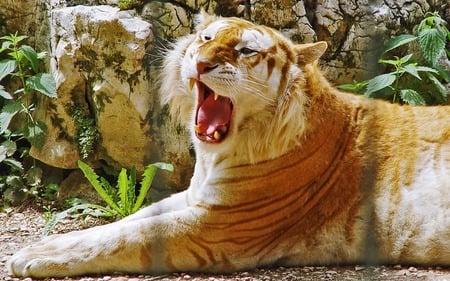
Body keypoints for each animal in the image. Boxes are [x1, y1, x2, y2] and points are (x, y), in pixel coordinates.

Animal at [7, 12, 450, 276]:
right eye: (205, 37)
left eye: (246, 50)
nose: (201, 62)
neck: (216, 155)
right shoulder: (195, 198)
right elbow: (123, 223)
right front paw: (45, 244)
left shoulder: (218, 226)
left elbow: (127, 236)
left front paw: (33, 256)